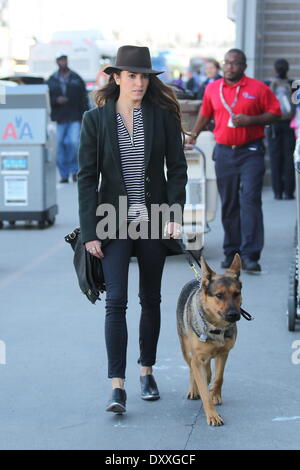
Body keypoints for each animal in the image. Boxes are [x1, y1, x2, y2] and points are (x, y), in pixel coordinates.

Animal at [177, 253, 243, 426]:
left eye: (236, 294)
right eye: (219, 295)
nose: (234, 315)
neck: (216, 328)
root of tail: (198, 279)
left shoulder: (224, 353)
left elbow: (219, 377)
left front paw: (215, 394)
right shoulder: (197, 358)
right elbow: (203, 390)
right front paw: (212, 415)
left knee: (208, 372)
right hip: (186, 350)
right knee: (192, 368)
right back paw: (193, 389)